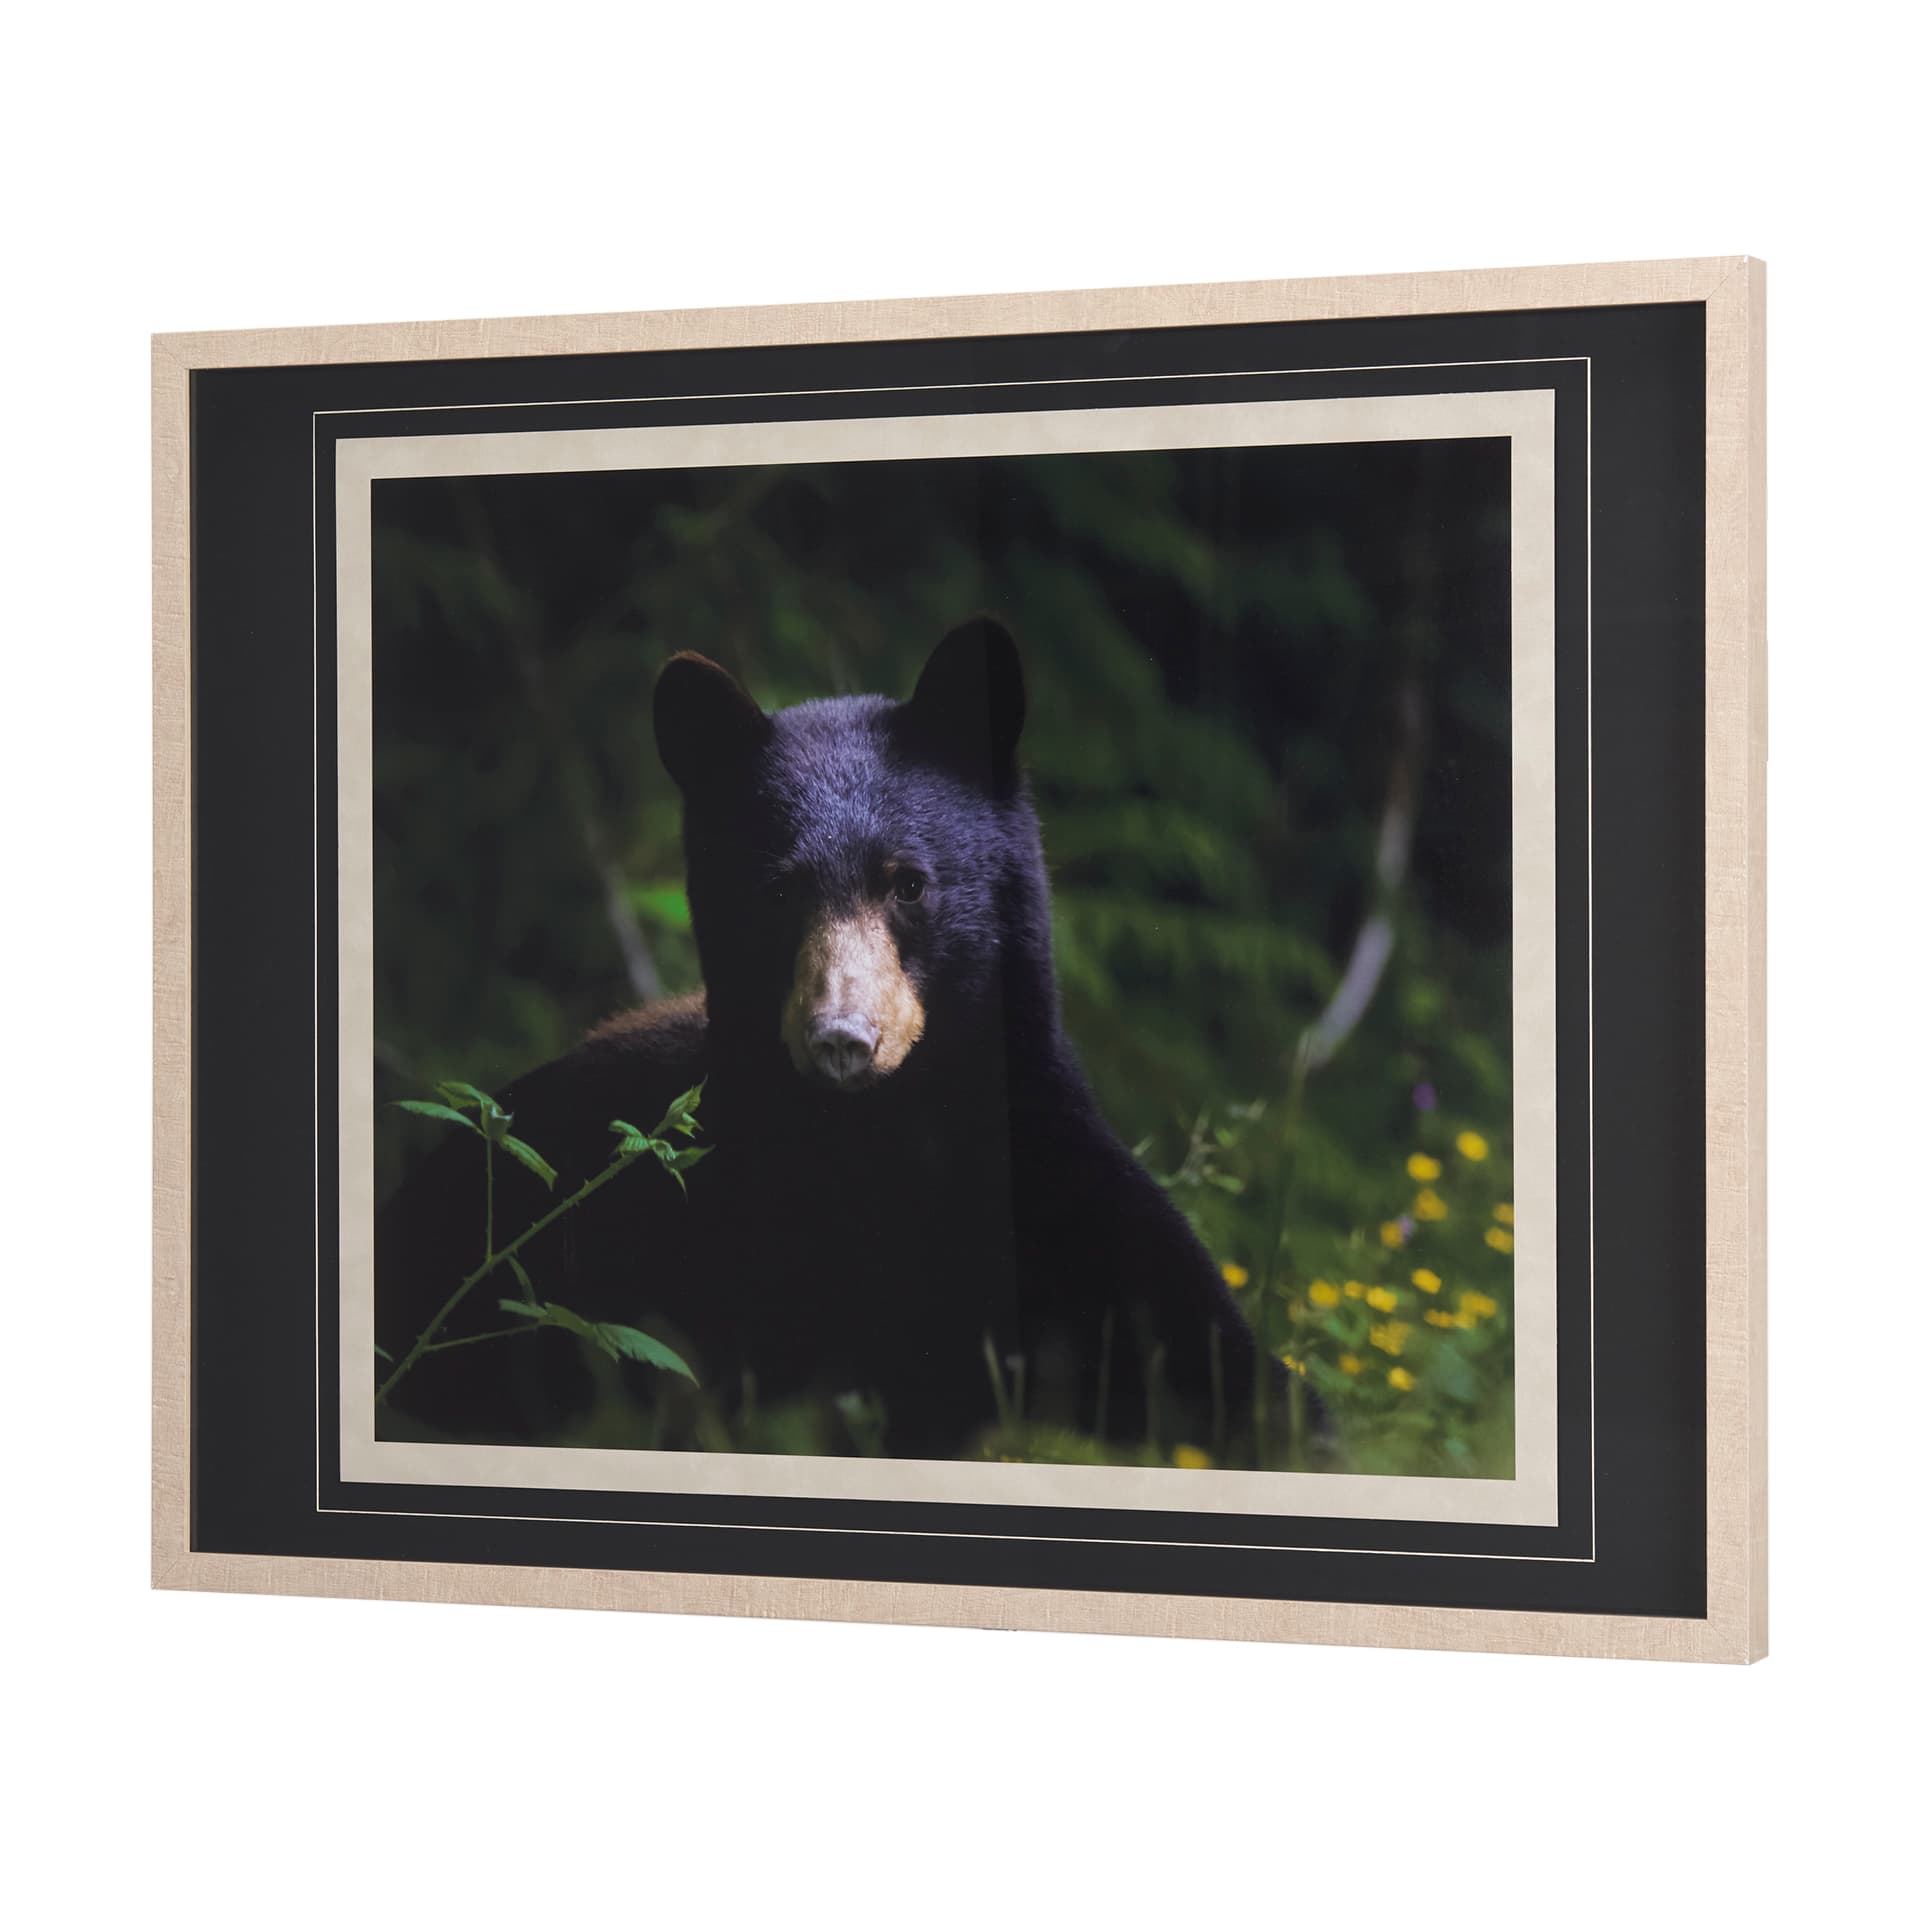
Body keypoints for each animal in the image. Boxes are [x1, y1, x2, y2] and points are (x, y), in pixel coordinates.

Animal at [375, 618, 1257, 1459]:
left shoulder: (1055, 1192)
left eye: (909, 883)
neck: (879, 1146)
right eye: (775, 893)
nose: (841, 1038)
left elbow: (1205, 1362)